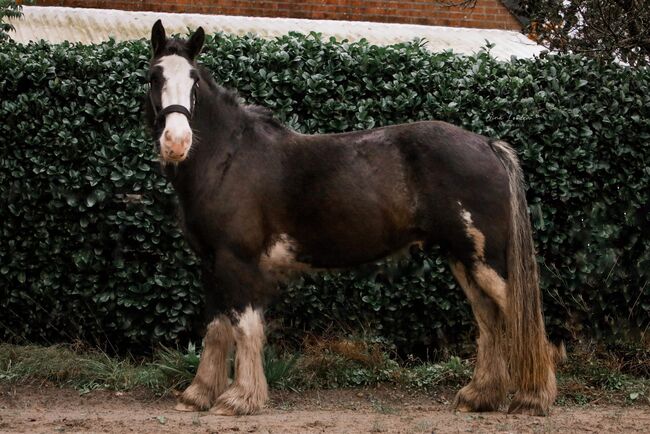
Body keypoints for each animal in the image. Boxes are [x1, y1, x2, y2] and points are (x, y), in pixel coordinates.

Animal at [144, 21, 560, 418]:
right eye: (154, 77)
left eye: (194, 81)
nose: (176, 142)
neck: (229, 158)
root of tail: (487, 145)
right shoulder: (211, 262)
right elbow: (216, 329)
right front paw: (198, 395)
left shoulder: (237, 260)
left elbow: (245, 328)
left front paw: (240, 399)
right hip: (462, 257)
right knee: (489, 320)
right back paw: (480, 396)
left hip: (487, 262)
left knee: (521, 318)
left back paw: (533, 399)